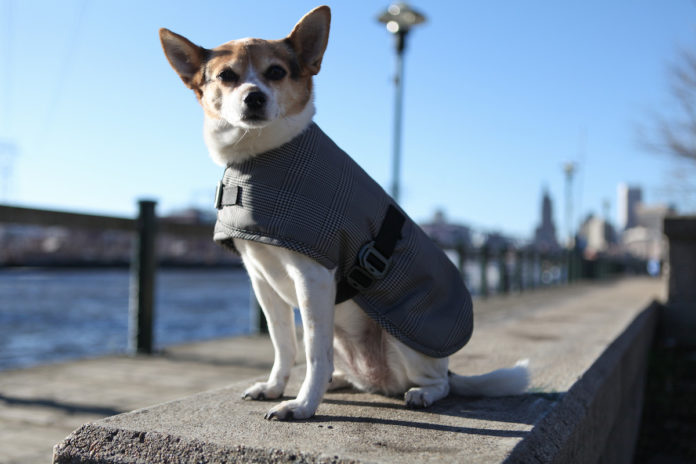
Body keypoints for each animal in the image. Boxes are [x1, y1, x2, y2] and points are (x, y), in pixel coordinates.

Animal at [159, 5, 528, 420]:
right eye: (226, 76)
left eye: (276, 72)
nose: (254, 98)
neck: (260, 157)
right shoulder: (260, 279)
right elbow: (284, 344)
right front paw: (274, 387)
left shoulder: (314, 278)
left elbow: (313, 353)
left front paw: (302, 405)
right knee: (345, 369)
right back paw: (339, 382)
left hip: (401, 337)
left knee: (440, 383)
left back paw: (421, 392)